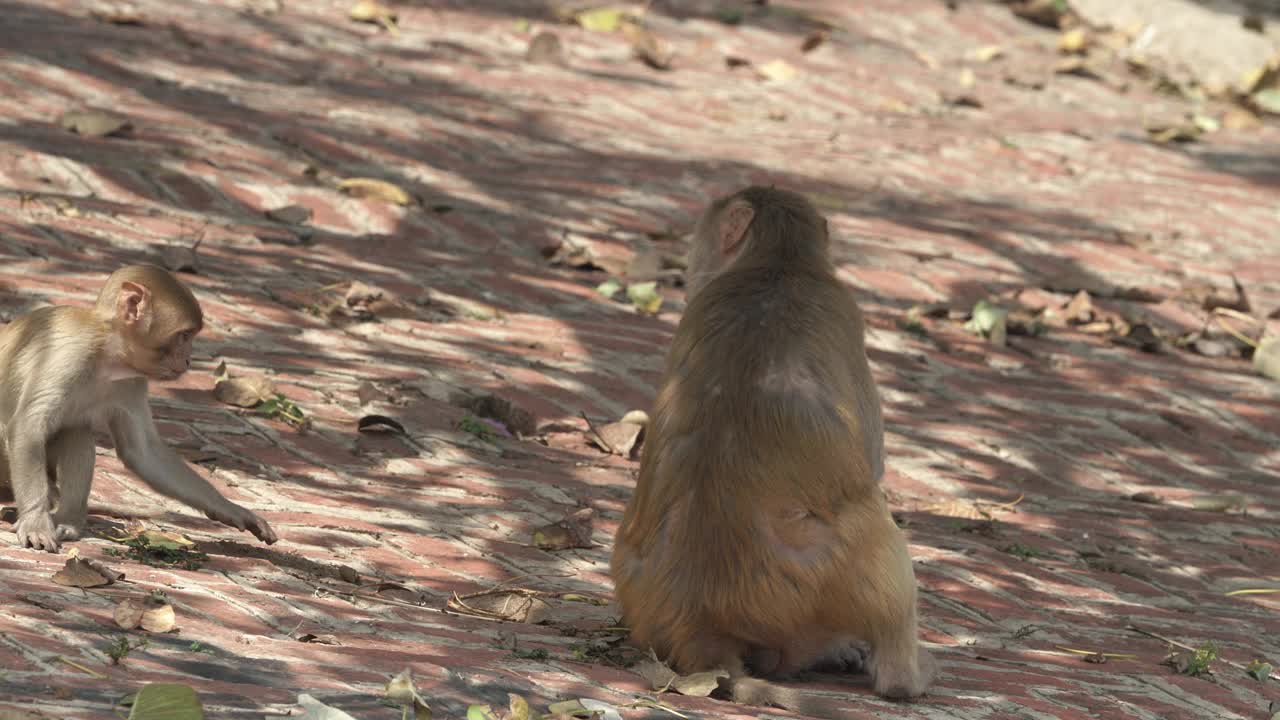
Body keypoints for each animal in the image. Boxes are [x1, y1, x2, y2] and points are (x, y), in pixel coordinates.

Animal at [0, 263, 277, 548]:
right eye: (184, 336)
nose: (188, 360)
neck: (106, 355)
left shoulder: (133, 381)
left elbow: (144, 452)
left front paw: (228, 508)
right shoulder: (68, 356)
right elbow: (27, 427)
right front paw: (35, 520)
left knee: (76, 431)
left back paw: (69, 521)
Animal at [614, 184, 936, 707]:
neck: (778, 261)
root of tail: (698, 623)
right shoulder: (847, 315)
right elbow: (872, 458)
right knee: (881, 537)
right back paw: (902, 675)